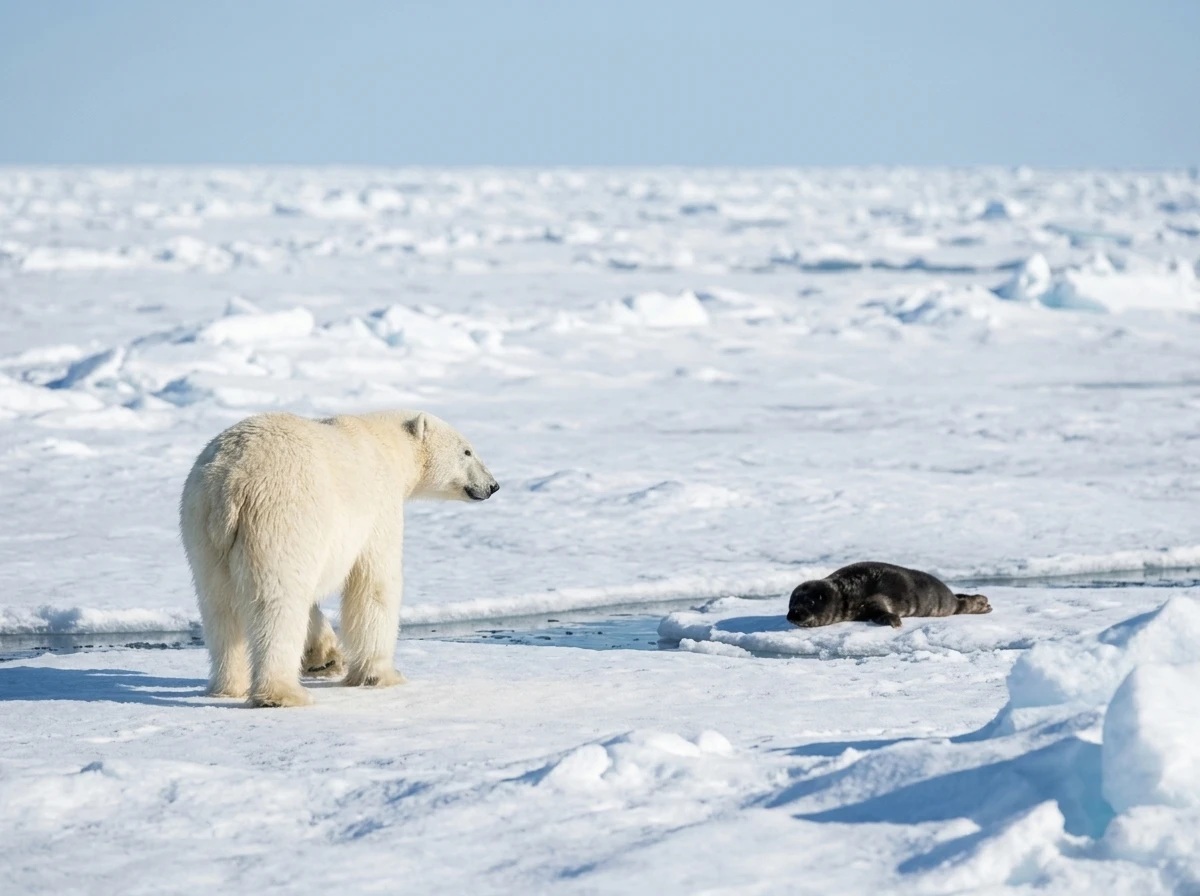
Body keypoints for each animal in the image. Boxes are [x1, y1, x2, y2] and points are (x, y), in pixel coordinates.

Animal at [179, 410, 499, 708]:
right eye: (467, 451)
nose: (493, 485)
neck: (386, 445)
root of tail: (230, 482)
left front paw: (326, 659)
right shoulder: (378, 507)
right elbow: (375, 585)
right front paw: (382, 675)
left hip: (202, 532)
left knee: (219, 607)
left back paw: (229, 686)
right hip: (279, 515)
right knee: (277, 603)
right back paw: (283, 694)